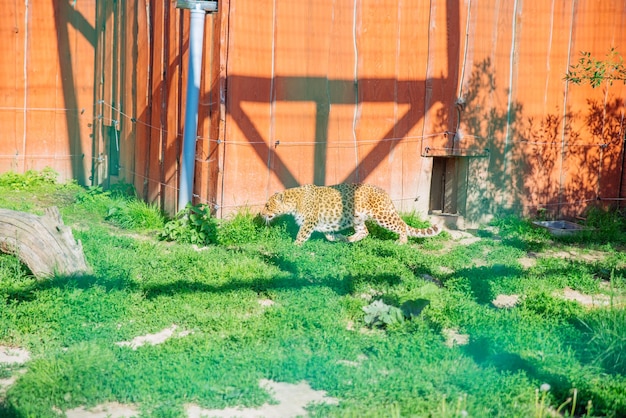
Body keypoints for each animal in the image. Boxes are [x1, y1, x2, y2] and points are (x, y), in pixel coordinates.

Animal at [260, 183, 442, 245]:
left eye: (268, 205)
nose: (261, 214)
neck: (295, 201)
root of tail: (384, 192)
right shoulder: (324, 222)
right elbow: (328, 235)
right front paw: (338, 238)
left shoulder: (309, 222)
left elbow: (301, 236)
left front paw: (293, 247)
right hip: (357, 218)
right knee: (365, 231)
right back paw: (349, 239)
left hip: (382, 215)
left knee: (401, 226)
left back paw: (401, 242)